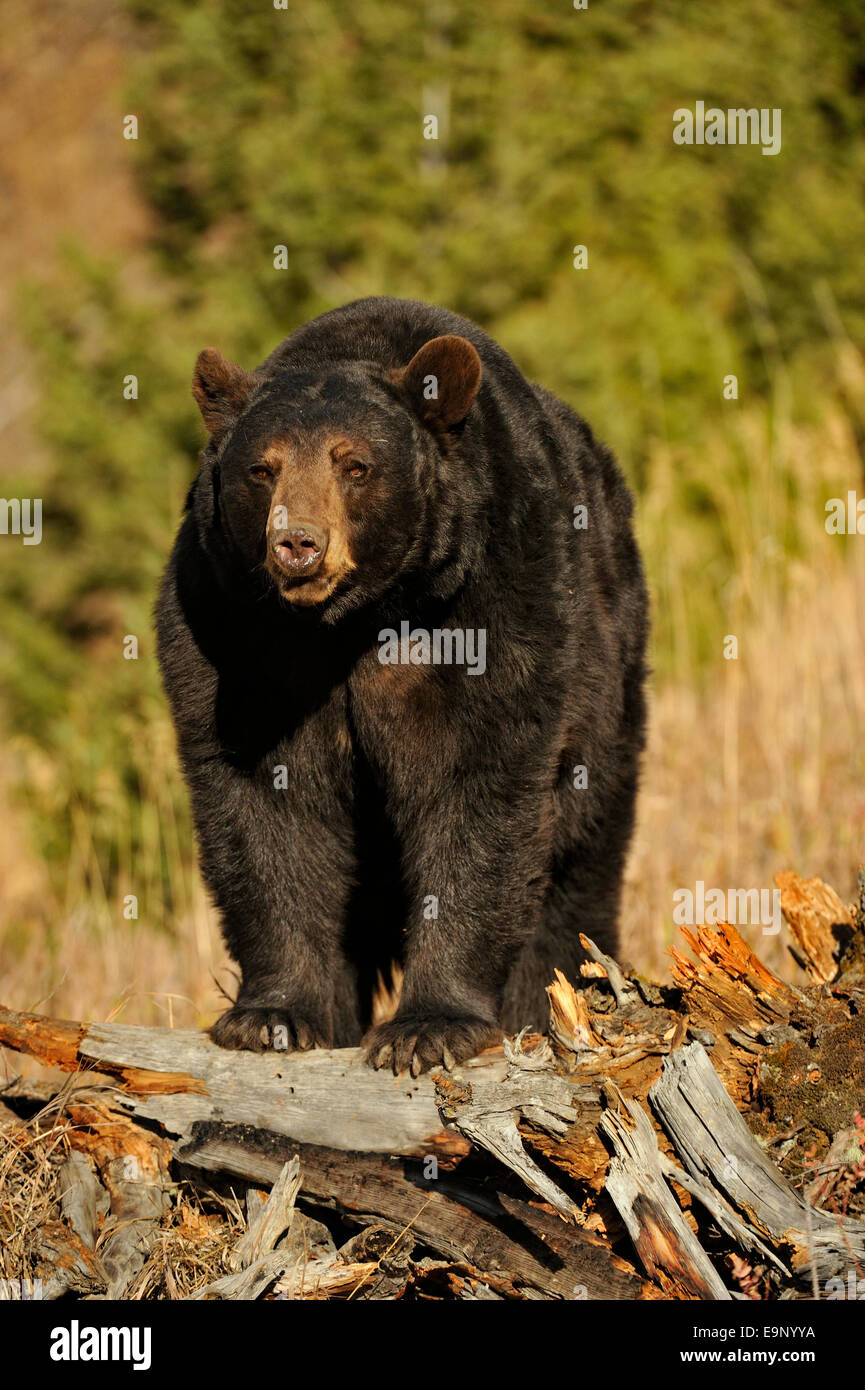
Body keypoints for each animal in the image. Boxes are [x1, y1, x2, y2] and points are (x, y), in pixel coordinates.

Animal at [155, 296, 648, 1073]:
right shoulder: (235, 637)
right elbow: (265, 807)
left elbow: (475, 793)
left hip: (608, 684)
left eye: (354, 463)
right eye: (261, 469)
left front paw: (429, 1028)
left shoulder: (489, 611)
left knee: (580, 862)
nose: (297, 543)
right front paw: (272, 1015)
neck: (356, 619)